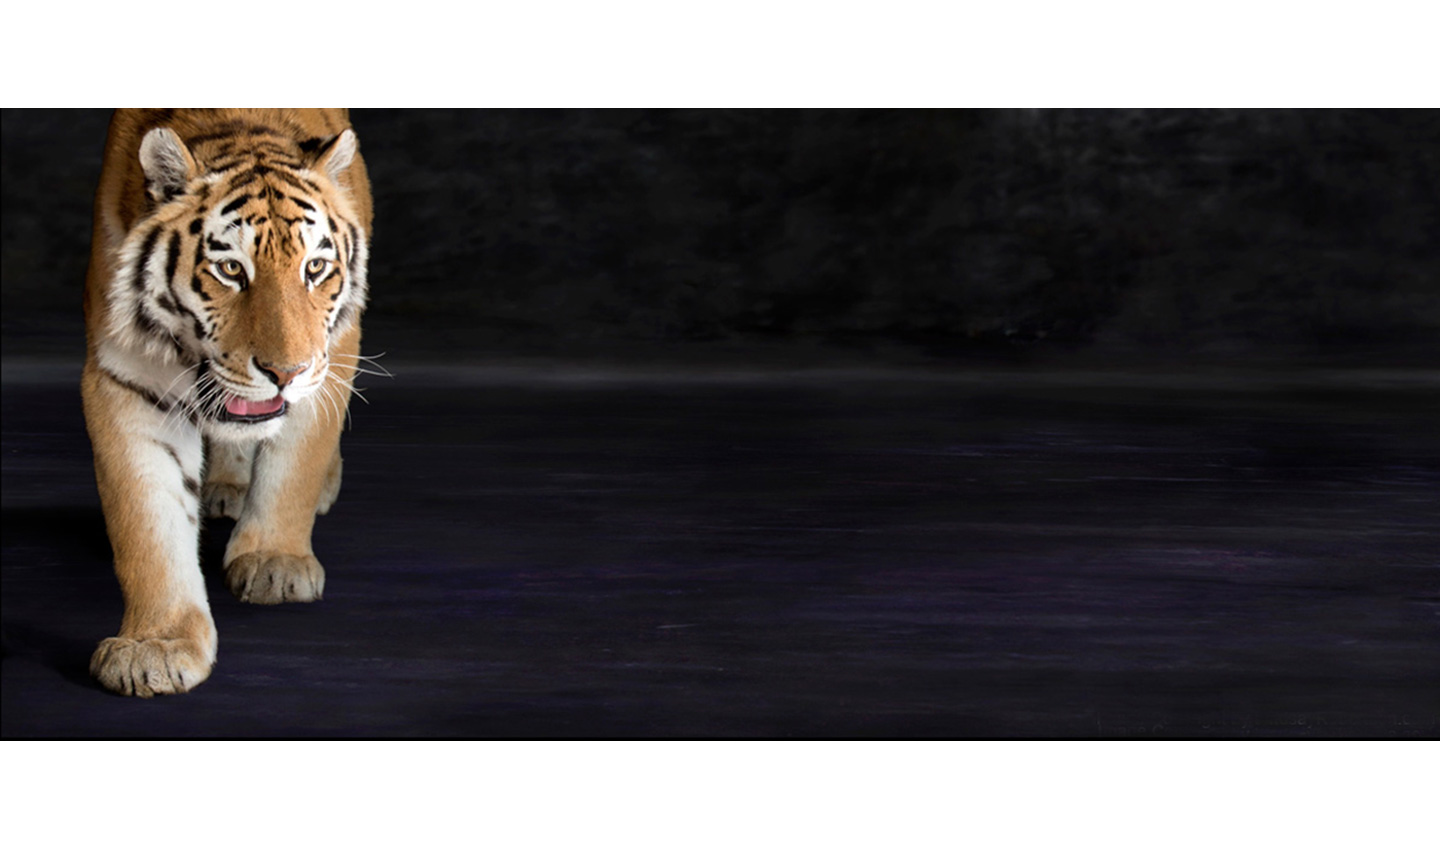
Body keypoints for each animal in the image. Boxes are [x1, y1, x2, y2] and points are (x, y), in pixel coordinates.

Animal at [81, 109, 374, 697]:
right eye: (232, 270)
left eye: (314, 269)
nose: (285, 372)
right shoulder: (123, 375)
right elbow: (148, 519)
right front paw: (157, 646)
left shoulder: (330, 357)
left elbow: (293, 466)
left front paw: (274, 562)